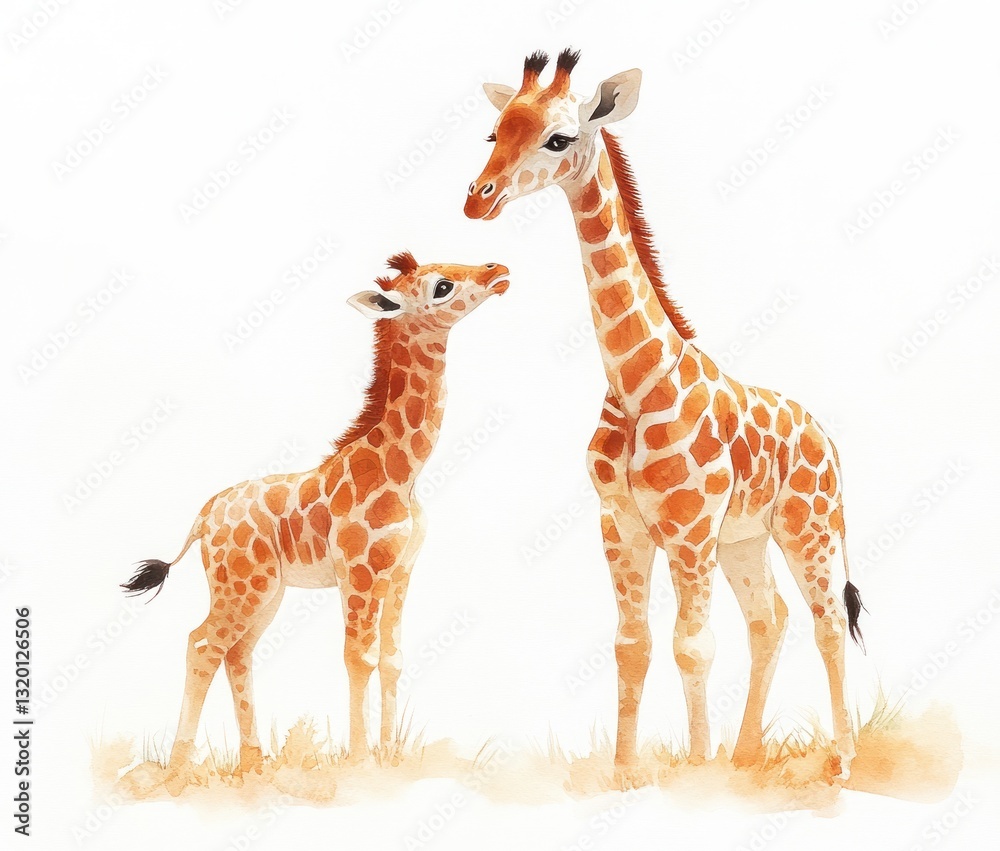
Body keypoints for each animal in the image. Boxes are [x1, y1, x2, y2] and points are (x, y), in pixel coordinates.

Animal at [122, 252, 510, 795]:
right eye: (442, 285)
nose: (498, 270)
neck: (404, 473)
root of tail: (203, 516)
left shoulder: (401, 573)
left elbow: (392, 660)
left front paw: (392, 757)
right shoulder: (360, 572)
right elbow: (358, 658)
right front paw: (361, 763)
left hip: (265, 591)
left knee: (237, 653)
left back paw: (254, 764)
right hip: (241, 586)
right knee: (202, 643)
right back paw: (178, 771)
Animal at [464, 49, 865, 785]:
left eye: (558, 139)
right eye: (495, 132)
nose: (478, 197)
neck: (632, 382)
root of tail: (826, 437)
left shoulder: (688, 529)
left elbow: (692, 644)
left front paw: (696, 770)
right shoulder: (621, 524)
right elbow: (633, 644)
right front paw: (627, 772)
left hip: (810, 527)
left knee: (826, 620)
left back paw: (841, 761)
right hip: (745, 539)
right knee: (770, 618)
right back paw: (746, 755)